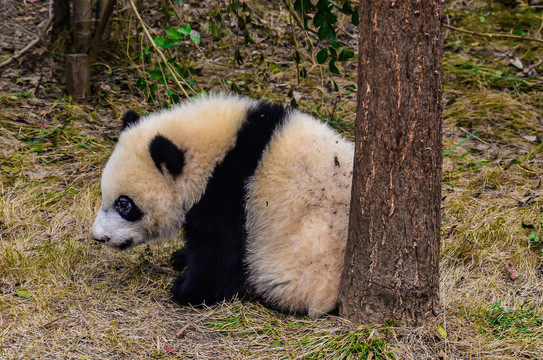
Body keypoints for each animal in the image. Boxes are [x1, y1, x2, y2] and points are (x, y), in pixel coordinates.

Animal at [91, 93, 354, 318]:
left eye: (124, 204)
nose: (98, 237)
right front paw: (181, 258)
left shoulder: (230, 190)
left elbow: (218, 250)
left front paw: (188, 291)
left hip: (307, 260)